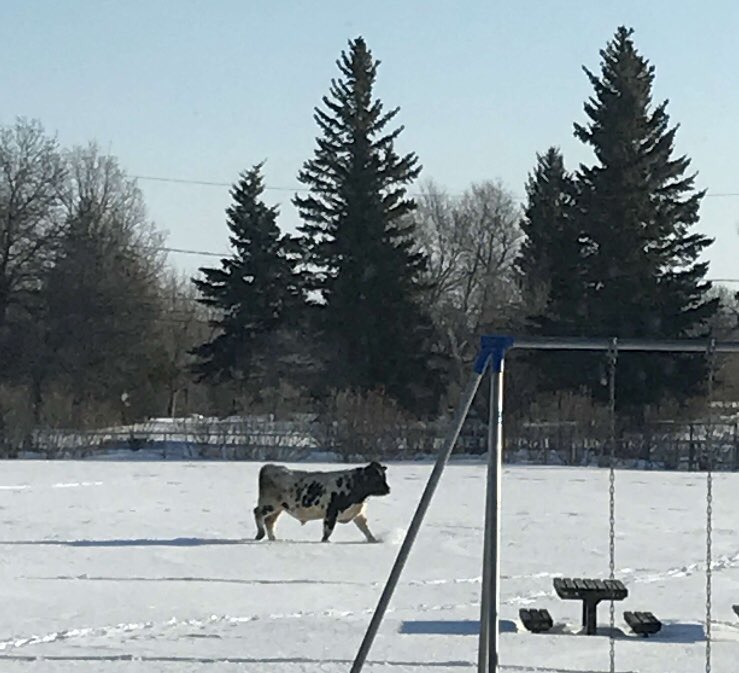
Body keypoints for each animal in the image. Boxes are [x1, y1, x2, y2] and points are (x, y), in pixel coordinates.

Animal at [253, 461, 390, 543]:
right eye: (376, 477)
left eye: (384, 476)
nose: (388, 489)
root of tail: (270, 466)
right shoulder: (331, 512)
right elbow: (328, 530)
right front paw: (326, 542)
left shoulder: (357, 513)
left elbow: (366, 529)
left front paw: (373, 540)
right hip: (269, 504)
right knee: (257, 512)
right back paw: (260, 534)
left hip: (279, 508)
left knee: (269, 521)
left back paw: (273, 539)